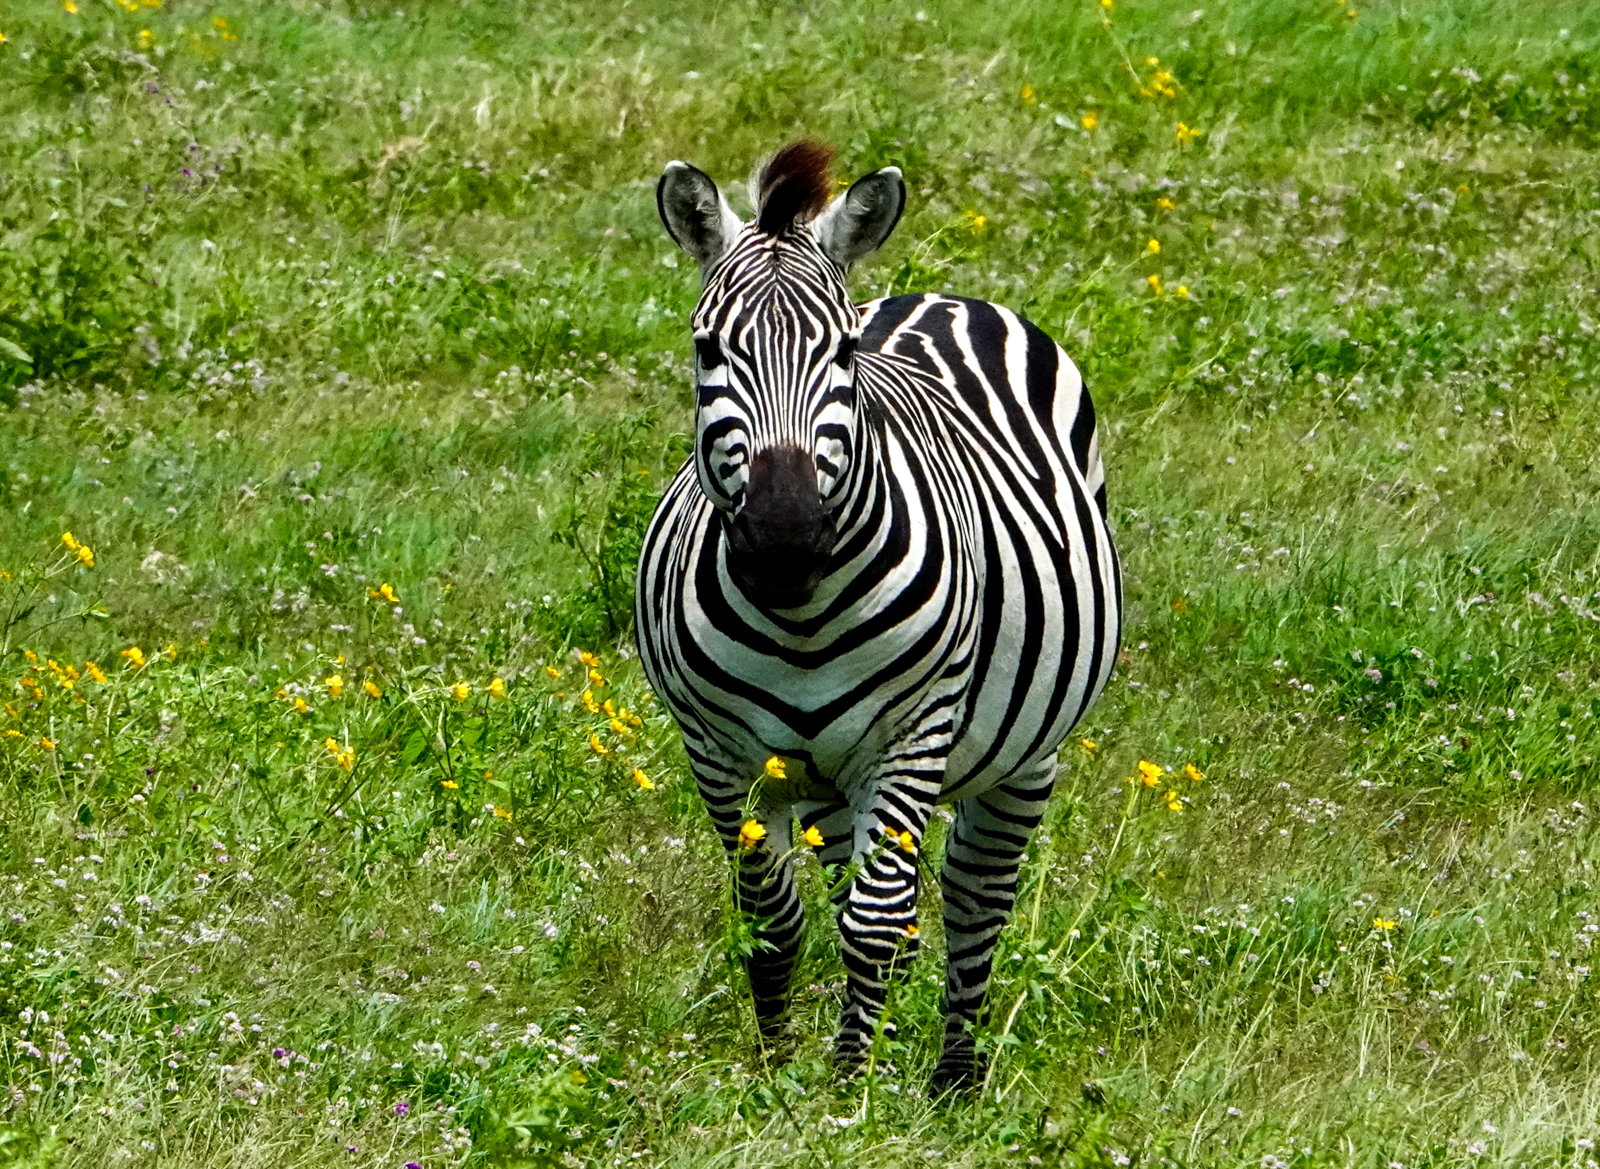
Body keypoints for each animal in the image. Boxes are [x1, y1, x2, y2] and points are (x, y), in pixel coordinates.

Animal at [636, 140, 1122, 1090]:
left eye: (841, 351)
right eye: (708, 347)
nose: (784, 537)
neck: (799, 618)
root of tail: (943, 297)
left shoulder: (911, 733)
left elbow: (876, 920)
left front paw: (847, 1092)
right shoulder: (717, 751)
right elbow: (771, 913)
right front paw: (778, 1074)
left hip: (1025, 752)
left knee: (974, 894)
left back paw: (953, 1081)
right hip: (826, 778)